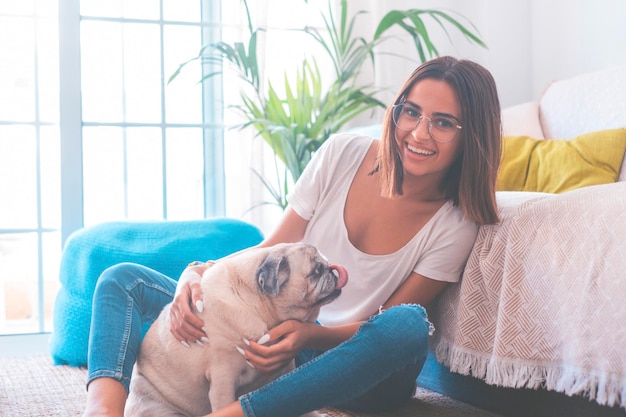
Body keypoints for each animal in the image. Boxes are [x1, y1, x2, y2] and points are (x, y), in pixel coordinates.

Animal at [124, 242, 348, 414]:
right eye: (316, 271)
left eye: (325, 265)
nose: (332, 270)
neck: (259, 307)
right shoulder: (223, 379)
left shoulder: (284, 370)